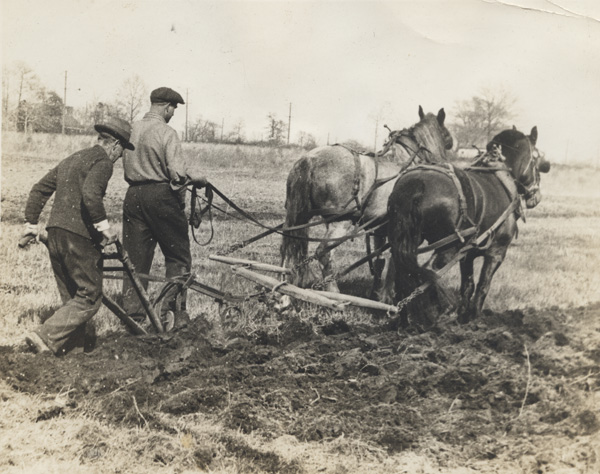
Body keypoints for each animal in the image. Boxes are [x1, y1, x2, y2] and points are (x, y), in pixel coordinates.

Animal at [278, 106, 452, 296]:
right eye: (446, 134)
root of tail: (309, 160)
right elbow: (396, 261)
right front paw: (389, 295)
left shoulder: (379, 229)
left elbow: (379, 261)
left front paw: (376, 292)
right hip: (341, 221)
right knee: (324, 252)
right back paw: (333, 291)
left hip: (300, 216)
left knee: (287, 247)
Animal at [384, 126, 548, 326]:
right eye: (536, 160)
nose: (536, 196)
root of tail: (416, 182)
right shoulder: (496, 252)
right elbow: (483, 286)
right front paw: (474, 318)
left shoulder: (467, 255)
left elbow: (467, 285)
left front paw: (463, 317)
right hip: (448, 246)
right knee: (429, 271)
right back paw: (435, 311)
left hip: (409, 240)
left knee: (404, 274)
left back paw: (404, 318)